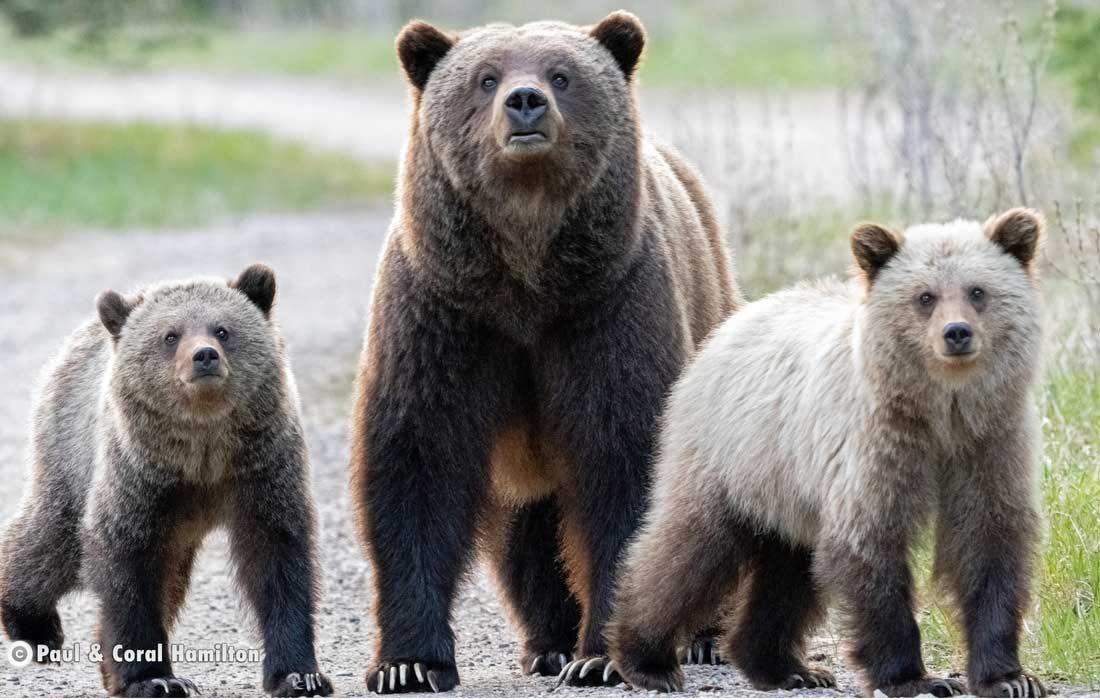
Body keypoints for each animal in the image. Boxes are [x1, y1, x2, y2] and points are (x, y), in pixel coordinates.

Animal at [2, 265, 332, 695]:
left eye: (222, 329)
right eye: (170, 335)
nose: (204, 355)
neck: (202, 449)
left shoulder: (262, 468)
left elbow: (278, 558)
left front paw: (300, 675)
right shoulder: (140, 478)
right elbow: (128, 567)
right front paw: (153, 678)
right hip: (70, 455)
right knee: (50, 543)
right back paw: (33, 626)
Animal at [347, 9, 743, 695]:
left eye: (562, 74)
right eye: (484, 77)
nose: (525, 101)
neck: (526, 277)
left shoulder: (607, 306)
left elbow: (626, 456)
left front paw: (604, 656)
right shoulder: (442, 313)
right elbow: (416, 461)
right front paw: (409, 663)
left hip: (707, 305)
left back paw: (700, 639)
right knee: (527, 532)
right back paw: (549, 642)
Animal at [611, 208, 1047, 695]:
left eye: (977, 291)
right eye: (925, 296)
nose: (957, 333)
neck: (940, 413)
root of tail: (732, 319)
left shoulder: (988, 445)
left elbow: (989, 544)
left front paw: (1009, 677)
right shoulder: (876, 449)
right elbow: (870, 549)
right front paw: (915, 678)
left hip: (787, 486)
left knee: (788, 571)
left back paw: (785, 667)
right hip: (729, 456)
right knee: (689, 548)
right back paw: (646, 659)